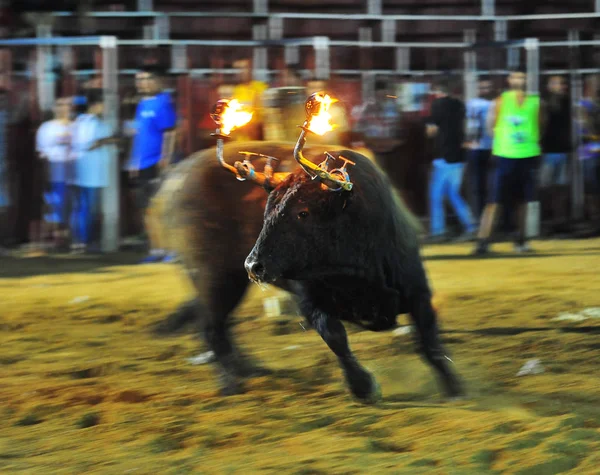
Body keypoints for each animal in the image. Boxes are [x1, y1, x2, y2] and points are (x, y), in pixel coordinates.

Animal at [151, 95, 464, 404]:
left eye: (303, 213)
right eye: (267, 210)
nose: (253, 266)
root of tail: (175, 181)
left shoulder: (417, 288)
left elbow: (428, 337)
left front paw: (453, 386)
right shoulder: (309, 300)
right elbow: (336, 338)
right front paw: (363, 386)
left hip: (222, 281)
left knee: (212, 322)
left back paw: (247, 368)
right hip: (216, 278)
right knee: (212, 327)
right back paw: (232, 381)